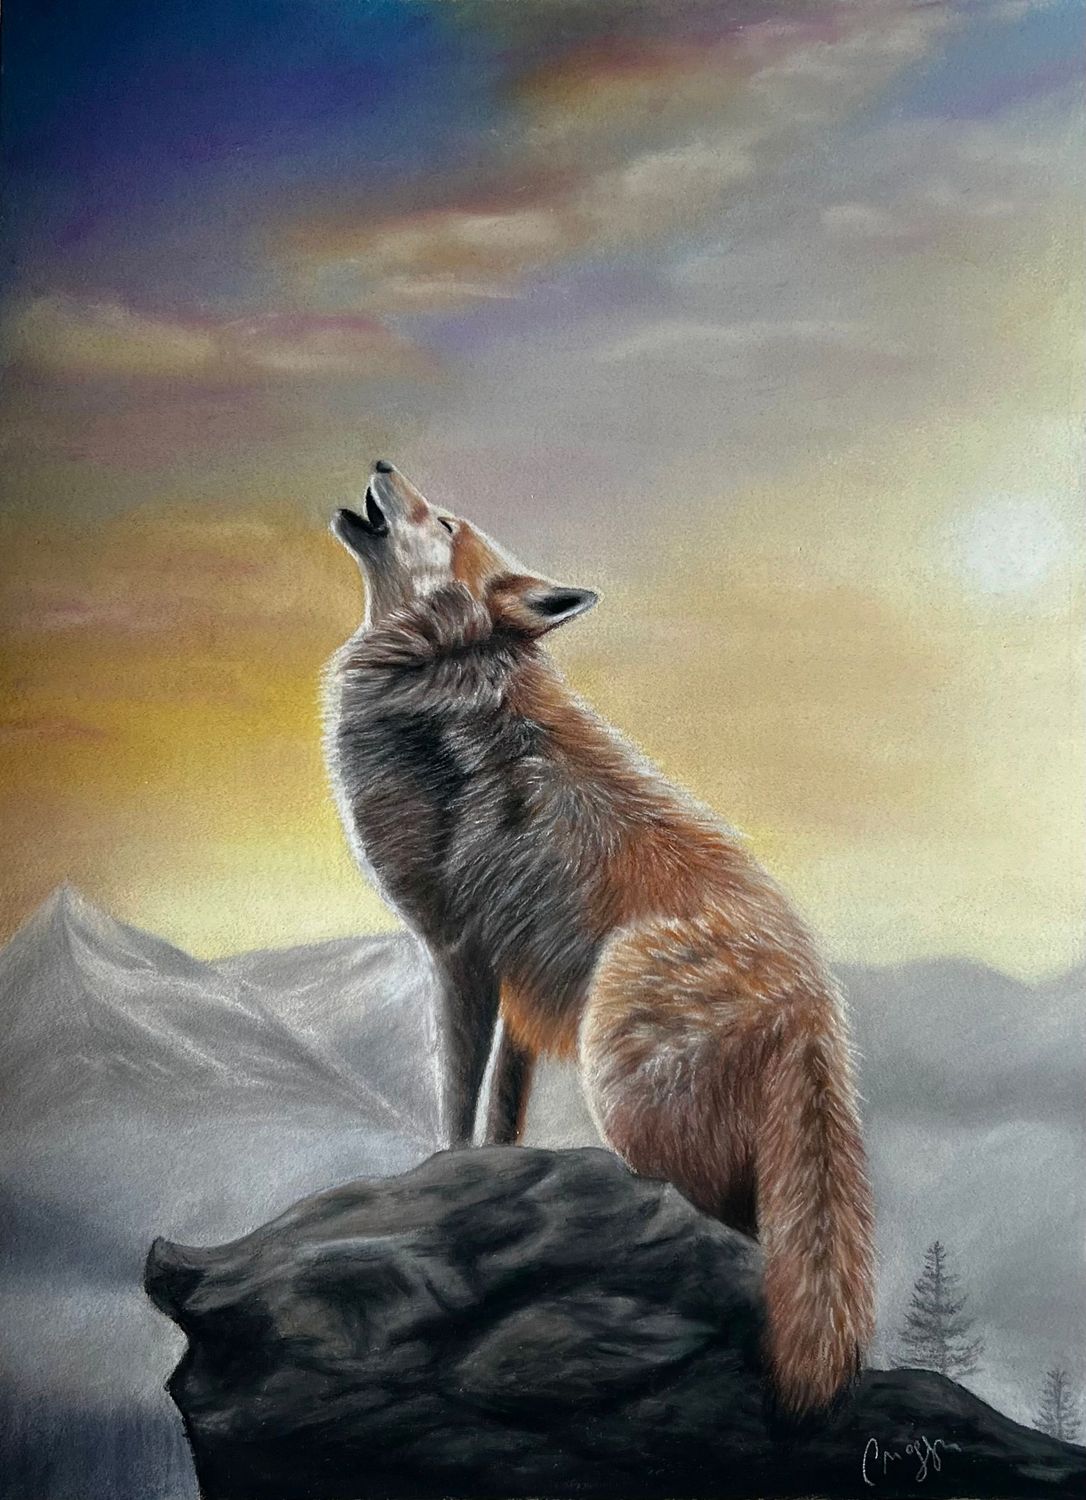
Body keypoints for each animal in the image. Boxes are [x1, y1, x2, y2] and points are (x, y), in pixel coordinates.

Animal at [323, 460, 876, 1416]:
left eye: (447, 520)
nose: (385, 463)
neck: (442, 667)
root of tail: (815, 1005)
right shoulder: (515, 989)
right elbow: (501, 1116)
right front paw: (487, 1172)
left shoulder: (458, 955)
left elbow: (454, 1099)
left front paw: (437, 1172)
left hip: (621, 1084)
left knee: (726, 1239)